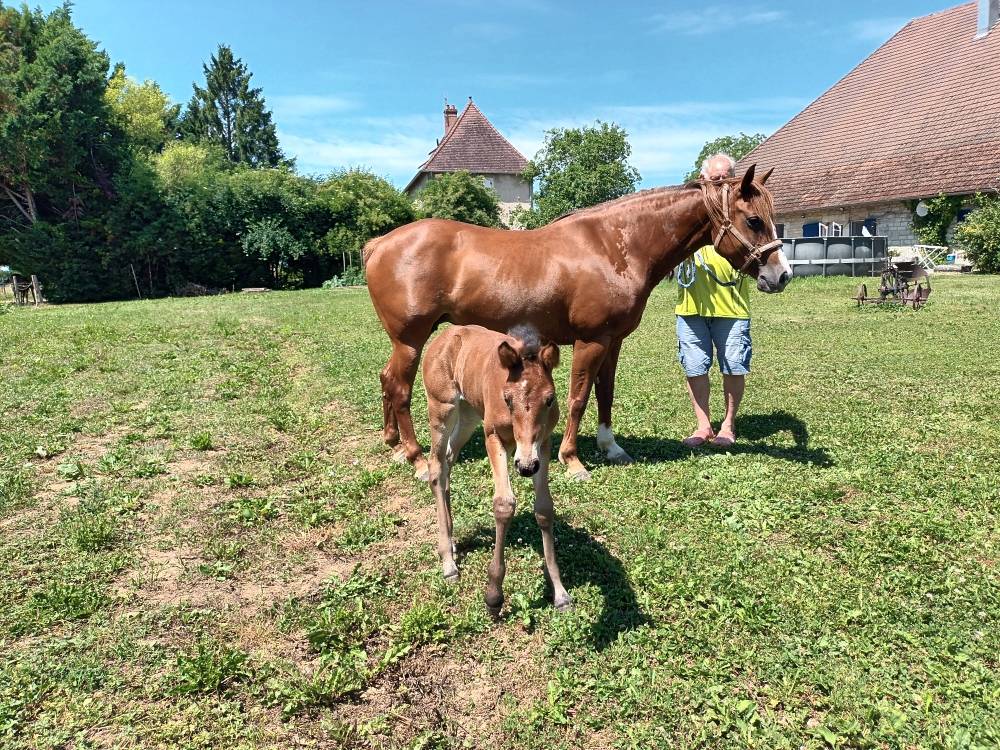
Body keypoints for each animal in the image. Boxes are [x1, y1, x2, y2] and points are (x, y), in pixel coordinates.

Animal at [365, 165, 790, 481]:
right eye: (754, 220)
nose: (782, 275)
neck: (615, 247)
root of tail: (379, 243)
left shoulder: (613, 341)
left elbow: (606, 393)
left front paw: (611, 447)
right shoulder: (591, 341)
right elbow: (578, 397)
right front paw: (572, 460)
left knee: (386, 380)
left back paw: (394, 445)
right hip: (411, 340)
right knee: (399, 389)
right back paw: (417, 458)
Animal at [421, 324, 570, 616]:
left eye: (549, 399)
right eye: (507, 398)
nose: (526, 466)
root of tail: (444, 336)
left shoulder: (543, 444)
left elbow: (544, 508)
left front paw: (559, 591)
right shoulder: (493, 437)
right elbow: (504, 504)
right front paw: (493, 596)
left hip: (468, 414)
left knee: (448, 461)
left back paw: (452, 540)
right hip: (442, 409)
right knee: (436, 466)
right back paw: (447, 561)